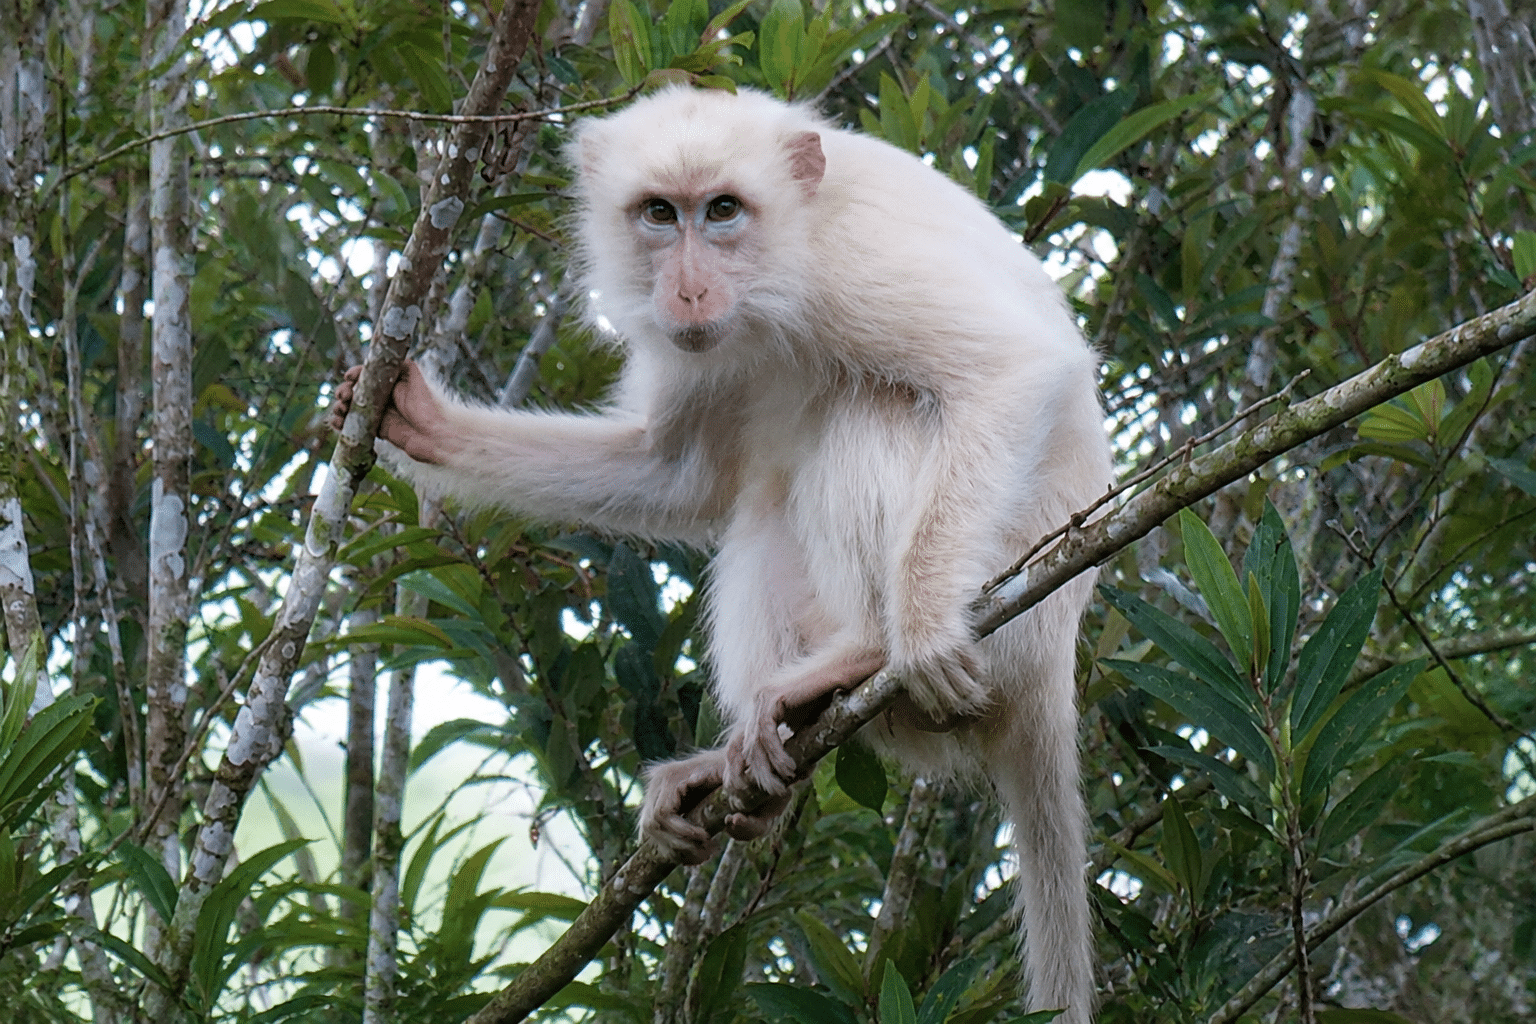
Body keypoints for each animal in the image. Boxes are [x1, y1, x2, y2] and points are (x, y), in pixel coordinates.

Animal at [331, 87, 1112, 1023]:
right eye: (660, 215)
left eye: (724, 211)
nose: (690, 289)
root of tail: (1052, 670)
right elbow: (678, 475)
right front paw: (427, 427)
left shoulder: (852, 266)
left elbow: (1016, 371)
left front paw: (920, 634)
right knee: (764, 507)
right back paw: (744, 767)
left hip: (1008, 606)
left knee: (873, 409)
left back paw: (865, 653)